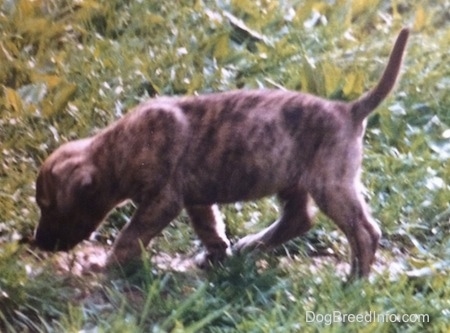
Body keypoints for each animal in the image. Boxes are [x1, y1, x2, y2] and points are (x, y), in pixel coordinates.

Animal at [33, 29, 410, 278]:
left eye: (50, 207)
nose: (38, 244)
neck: (117, 149)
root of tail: (348, 110)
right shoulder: (195, 199)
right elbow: (210, 227)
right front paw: (217, 255)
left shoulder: (163, 200)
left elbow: (131, 233)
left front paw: (107, 264)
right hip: (293, 181)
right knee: (299, 219)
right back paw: (252, 246)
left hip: (331, 185)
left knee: (364, 232)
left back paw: (356, 280)